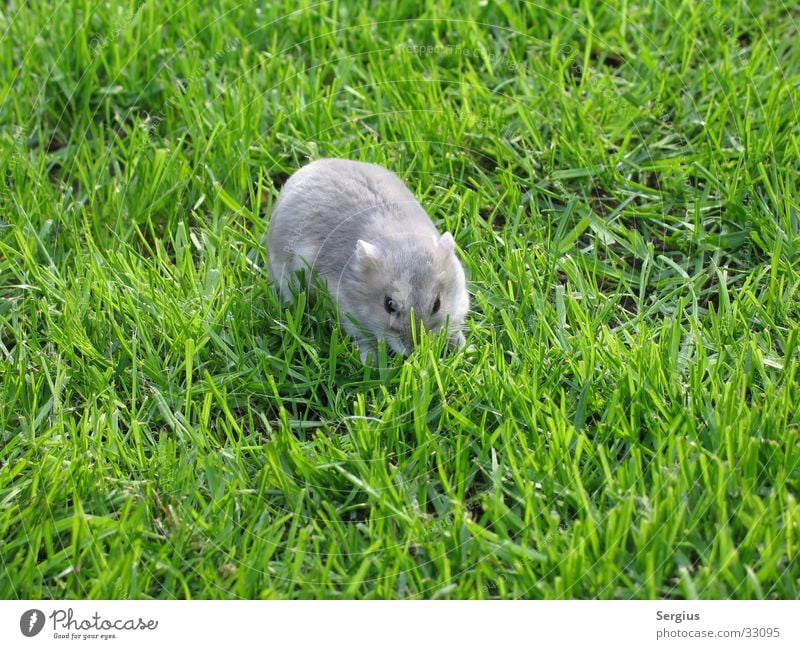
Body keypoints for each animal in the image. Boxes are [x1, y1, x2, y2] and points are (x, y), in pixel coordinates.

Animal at [266, 156, 472, 360]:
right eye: (389, 305)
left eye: (437, 304)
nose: (413, 352)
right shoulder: (348, 311)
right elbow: (362, 338)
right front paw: (371, 361)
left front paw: (465, 349)